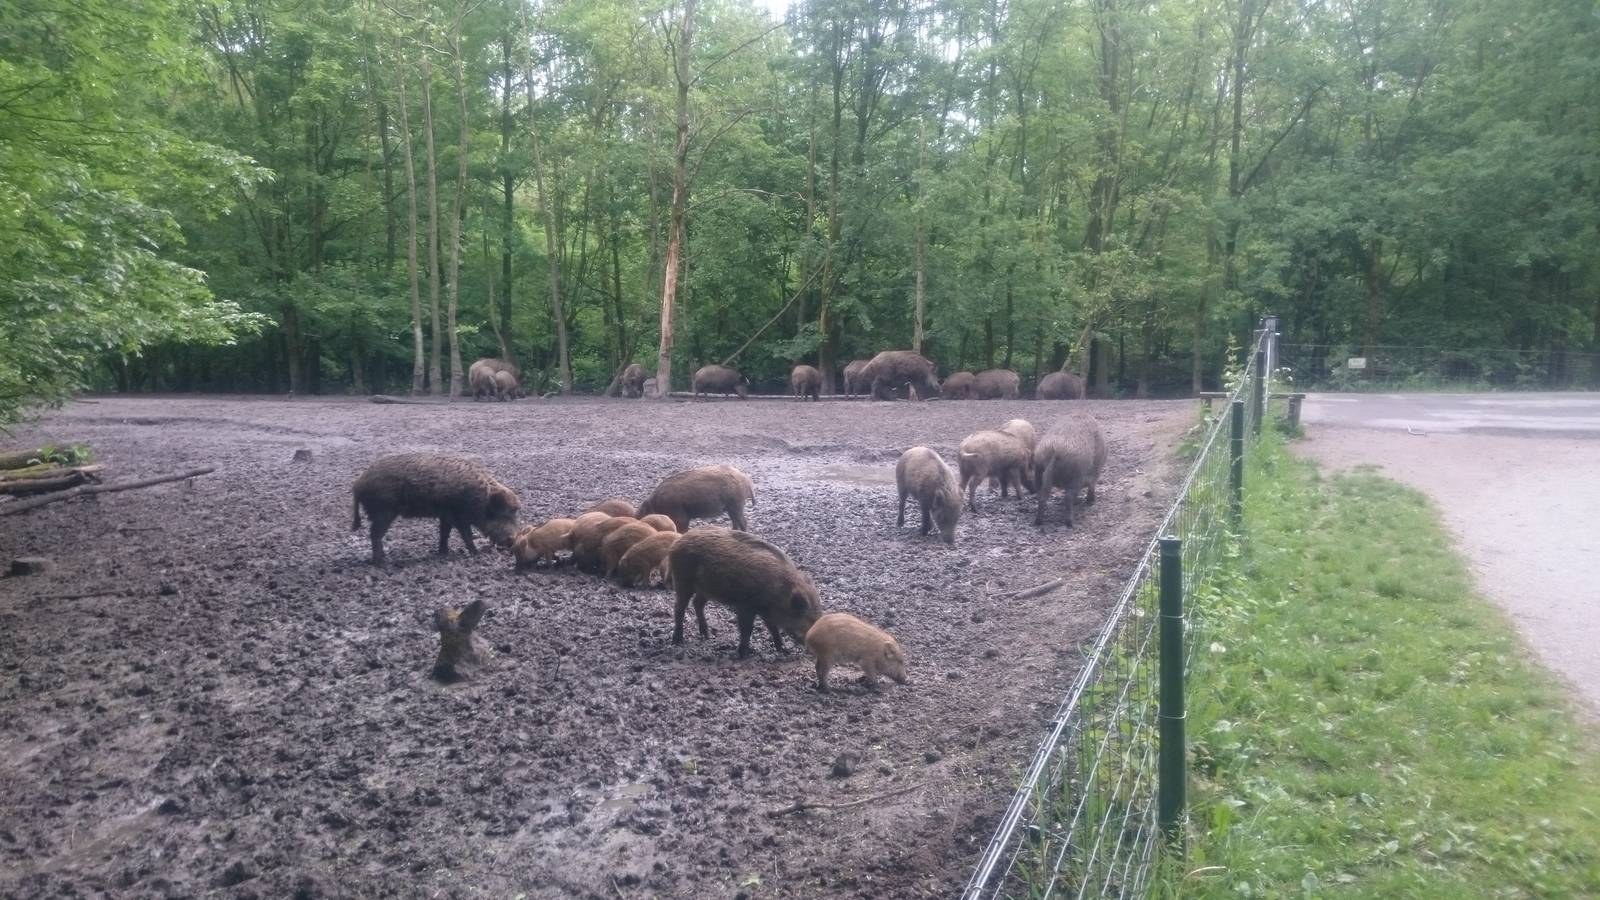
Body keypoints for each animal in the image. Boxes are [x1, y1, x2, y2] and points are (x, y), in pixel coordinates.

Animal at [351, 453, 521, 564]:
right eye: (504, 515)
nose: (513, 540)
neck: (481, 499)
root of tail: (358, 484)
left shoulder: (446, 516)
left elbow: (444, 533)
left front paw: (443, 553)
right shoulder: (459, 516)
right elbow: (466, 535)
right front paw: (476, 553)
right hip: (383, 512)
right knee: (375, 534)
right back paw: (382, 561)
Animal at [668, 527, 823, 658]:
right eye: (810, 620)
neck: (779, 591)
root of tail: (677, 543)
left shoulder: (765, 611)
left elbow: (773, 628)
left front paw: (783, 650)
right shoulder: (745, 606)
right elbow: (747, 629)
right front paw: (743, 655)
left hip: (705, 589)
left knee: (697, 603)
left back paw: (707, 635)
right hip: (682, 580)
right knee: (679, 608)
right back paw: (678, 640)